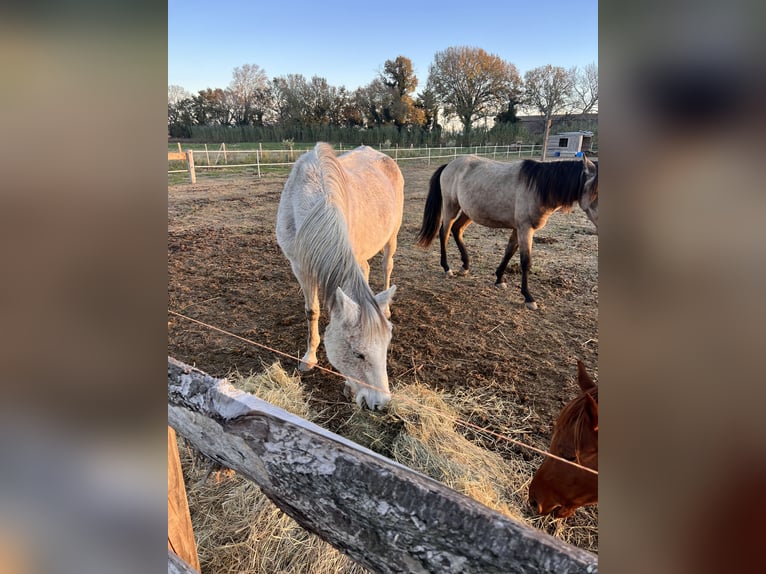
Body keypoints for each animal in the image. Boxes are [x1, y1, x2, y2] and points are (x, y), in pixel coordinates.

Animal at [276, 142, 404, 410]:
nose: (381, 404)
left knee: (387, 266)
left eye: (386, 348)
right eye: (358, 353)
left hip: (392, 236)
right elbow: (312, 311)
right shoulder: (299, 267)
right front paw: (309, 358)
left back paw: (386, 307)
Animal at [416, 155, 598, 310]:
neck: (537, 188)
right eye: (597, 191)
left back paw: (465, 266)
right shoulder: (525, 228)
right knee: (444, 232)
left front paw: (499, 278)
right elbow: (525, 261)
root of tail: (449, 164)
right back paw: (447, 268)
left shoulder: (518, 228)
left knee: (457, 230)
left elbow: (509, 251)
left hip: (469, 212)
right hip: (451, 207)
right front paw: (528, 298)